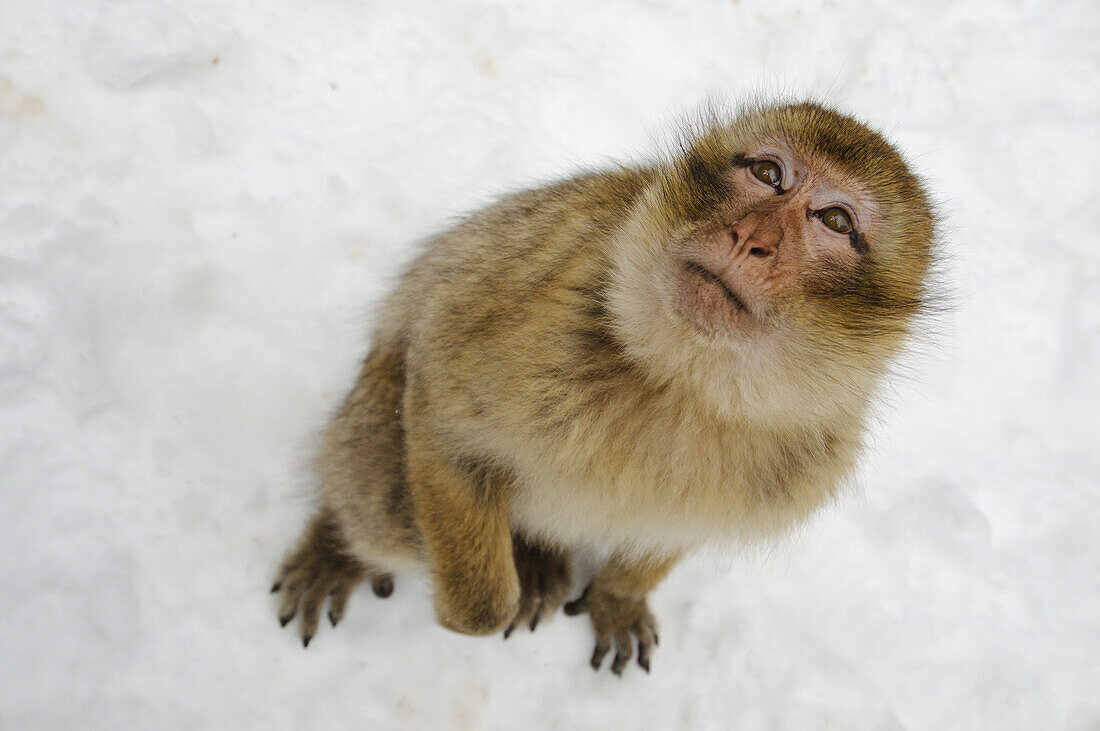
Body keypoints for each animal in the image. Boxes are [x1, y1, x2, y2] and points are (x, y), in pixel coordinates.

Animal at [270, 100, 932, 677]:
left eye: (836, 221)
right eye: (768, 174)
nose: (751, 238)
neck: (684, 379)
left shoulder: (806, 452)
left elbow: (675, 528)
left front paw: (617, 597)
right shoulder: (529, 314)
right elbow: (439, 413)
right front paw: (481, 604)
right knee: (387, 505)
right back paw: (342, 543)